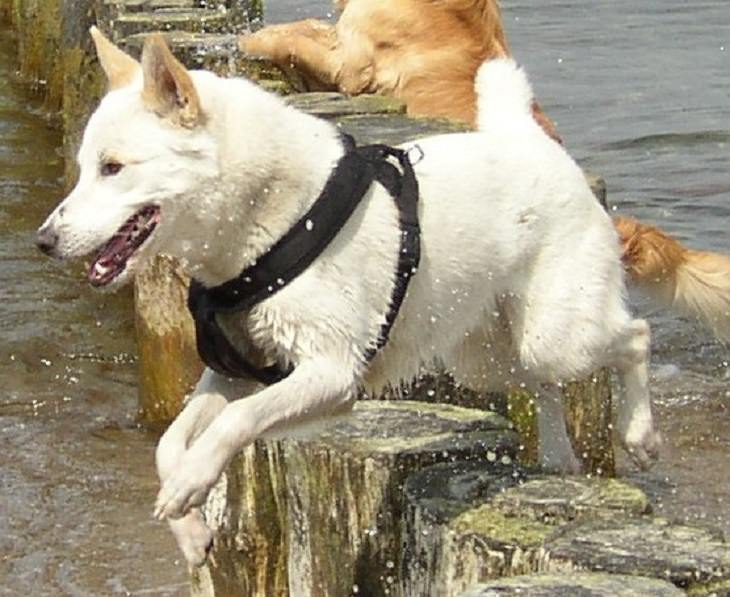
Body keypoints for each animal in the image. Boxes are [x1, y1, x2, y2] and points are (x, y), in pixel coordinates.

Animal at [39, 30, 660, 564]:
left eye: (113, 168)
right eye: (83, 169)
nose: (44, 240)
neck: (270, 223)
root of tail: (528, 142)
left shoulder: (331, 372)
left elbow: (236, 421)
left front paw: (193, 484)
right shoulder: (236, 369)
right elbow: (171, 440)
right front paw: (189, 525)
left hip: (555, 333)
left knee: (633, 337)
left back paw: (639, 434)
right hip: (486, 355)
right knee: (543, 386)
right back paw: (560, 460)